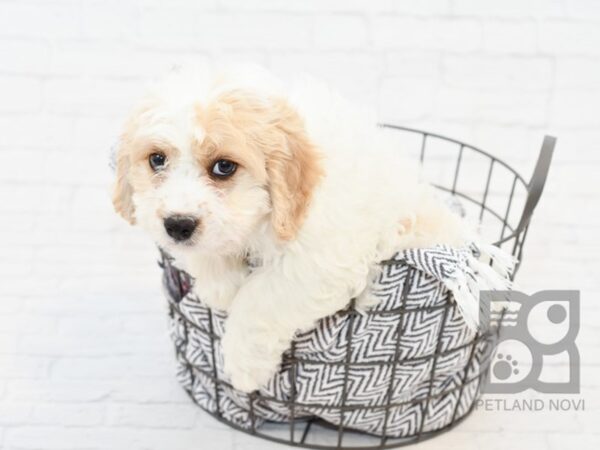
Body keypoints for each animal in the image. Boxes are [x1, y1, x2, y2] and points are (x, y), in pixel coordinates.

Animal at [112, 65, 468, 392]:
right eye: (157, 159)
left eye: (224, 167)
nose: (177, 225)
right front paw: (220, 285)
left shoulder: (321, 261)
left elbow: (261, 296)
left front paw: (243, 367)